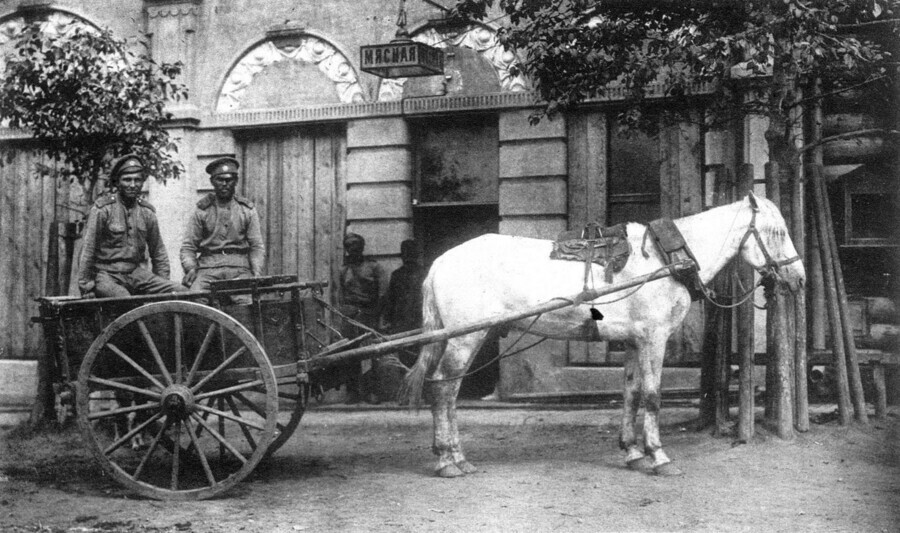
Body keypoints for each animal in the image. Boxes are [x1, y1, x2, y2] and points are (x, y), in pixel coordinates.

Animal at [402, 194, 808, 478]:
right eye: (778, 232)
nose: (800, 279)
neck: (664, 260)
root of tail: (440, 262)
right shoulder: (654, 338)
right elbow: (652, 397)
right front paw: (659, 456)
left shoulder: (632, 341)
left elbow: (631, 394)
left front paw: (632, 452)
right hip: (464, 339)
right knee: (444, 389)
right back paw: (449, 459)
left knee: (446, 389)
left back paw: (453, 457)